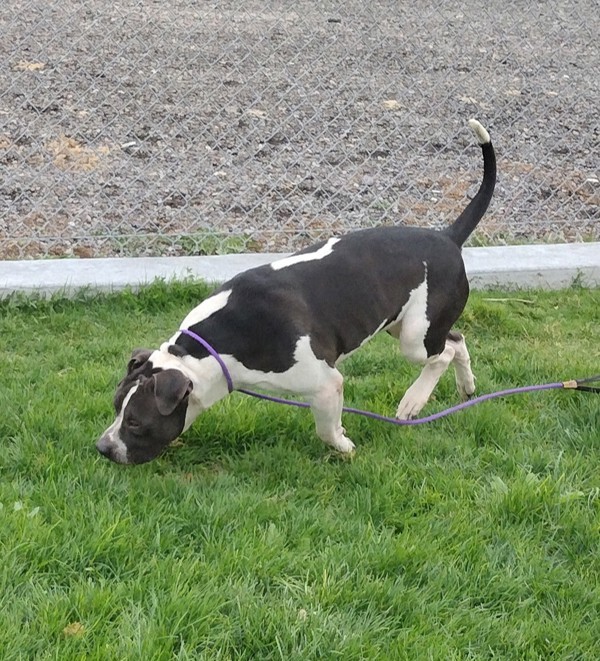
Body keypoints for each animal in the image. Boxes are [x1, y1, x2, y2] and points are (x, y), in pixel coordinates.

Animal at [96, 121, 494, 466]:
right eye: (115, 407)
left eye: (135, 421)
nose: (103, 447)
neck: (208, 351)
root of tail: (447, 236)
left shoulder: (326, 383)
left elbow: (326, 429)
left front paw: (344, 446)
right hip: (406, 324)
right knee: (456, 340)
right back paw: (467, 387)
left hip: (414, 337)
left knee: (440, 355)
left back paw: (413, 402)